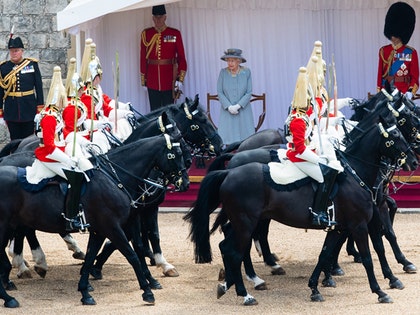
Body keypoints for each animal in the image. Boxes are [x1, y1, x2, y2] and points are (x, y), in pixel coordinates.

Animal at [0, 132, 189, 310]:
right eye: (177, 153)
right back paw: (11, 292)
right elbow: (133, 254)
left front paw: (86, 291)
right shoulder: (113, 226)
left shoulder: (102, 229)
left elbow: (92, 256)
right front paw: (147, 290)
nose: (185, 183)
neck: (115, 178)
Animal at [184, 111, 416, 306]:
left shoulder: (340, 226)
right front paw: (380, 289)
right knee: (235, 251)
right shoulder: (359, 224)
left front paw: (316, 287)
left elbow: (325, 254)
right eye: (396, 134)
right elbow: (370, 255)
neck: (354, 174)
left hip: (247, 222)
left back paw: (230, 283)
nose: (413, 160)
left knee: (229, 246)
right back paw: (246, 292)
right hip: (245, 223)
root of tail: (230, 170)